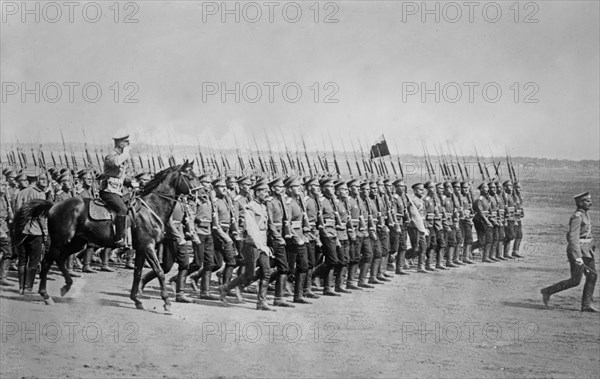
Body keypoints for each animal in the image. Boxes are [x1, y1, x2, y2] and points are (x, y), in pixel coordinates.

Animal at [13, 162, 197, 314]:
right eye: (189, 176)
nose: (197, 195)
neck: (151, 208)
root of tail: (54, 206)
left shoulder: (141, 249)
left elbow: (138, 273)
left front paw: (136, 299)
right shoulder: (148, 247)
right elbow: (159, 272)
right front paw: (166, 302)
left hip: (76, 242)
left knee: (60, 259)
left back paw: (66, 285)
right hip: (60, 242)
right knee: (46, 262)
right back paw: (46, 295)